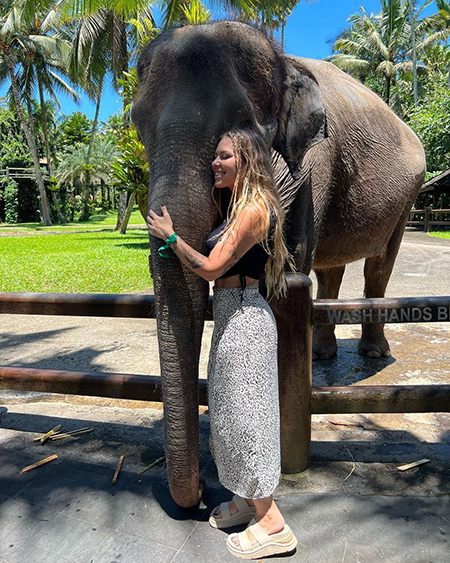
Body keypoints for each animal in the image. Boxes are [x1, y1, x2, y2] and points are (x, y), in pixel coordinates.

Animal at [131, 22, 426, 508]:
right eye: (137, 122)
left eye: (239, 120)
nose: (201, 488)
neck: (283, 60)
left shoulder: (315, 162)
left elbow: (292, 253)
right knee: (330, 270)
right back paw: (322, 353)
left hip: (409, 195)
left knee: (379, 265)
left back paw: (372, 353)